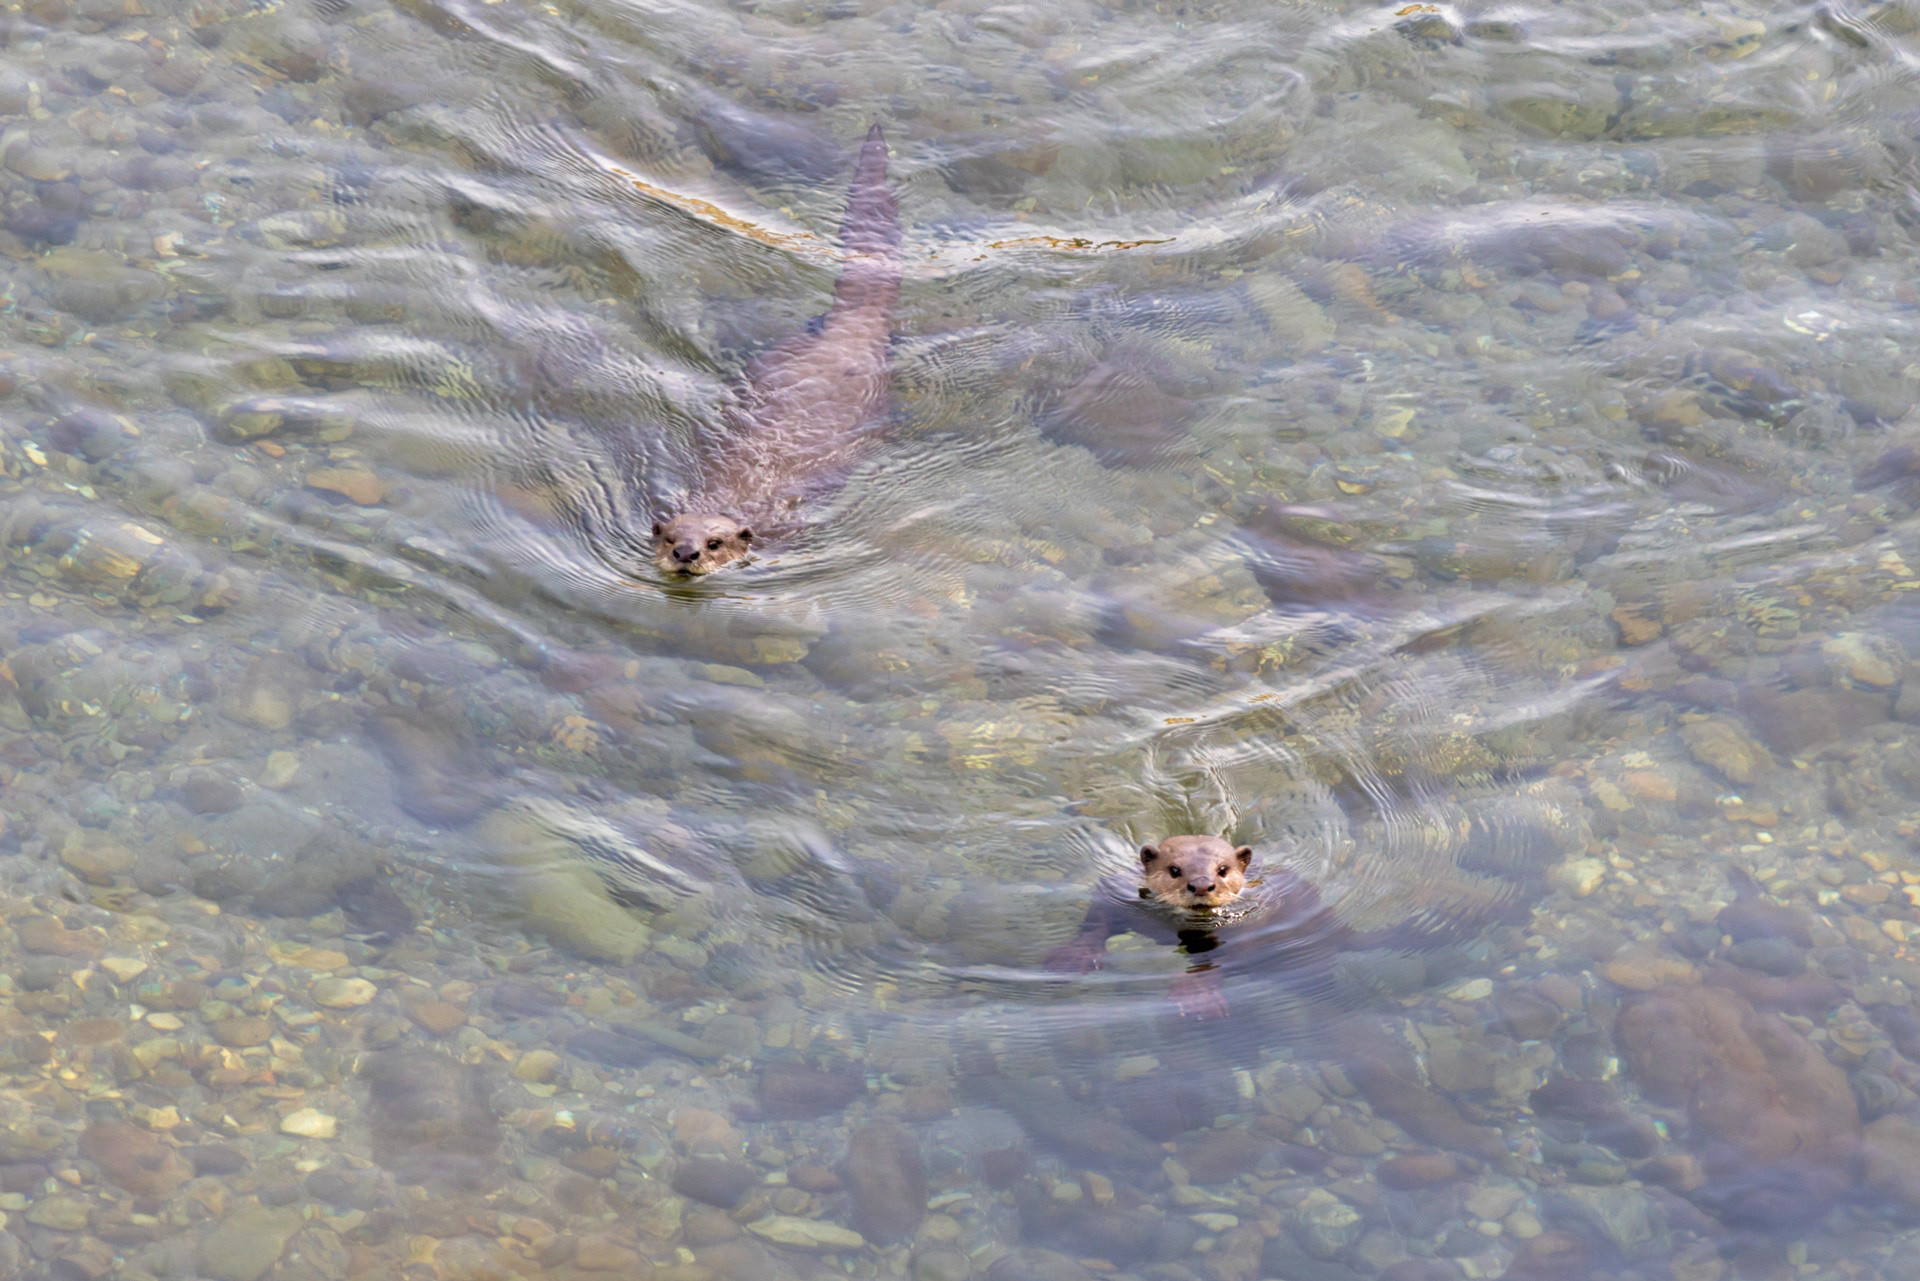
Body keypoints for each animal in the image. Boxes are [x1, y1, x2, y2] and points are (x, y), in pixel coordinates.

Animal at [1045, 835, 1522, 1019]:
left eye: (1222, 869)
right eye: (1175, 870)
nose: (1201, 885)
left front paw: (1196, 997)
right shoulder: (1120, 897)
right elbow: (1095, 921)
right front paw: (1070, 957)